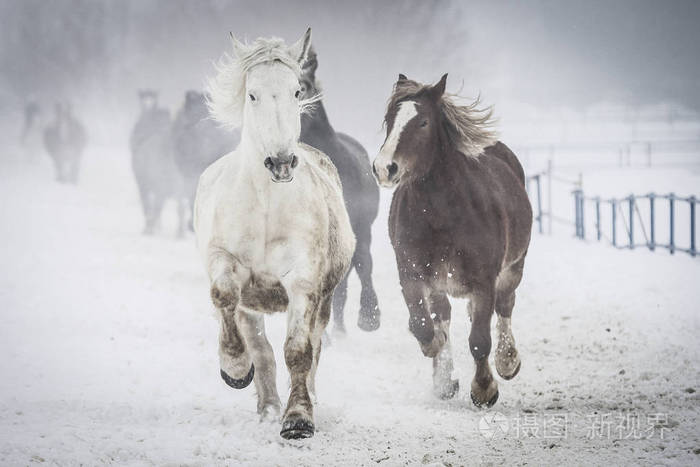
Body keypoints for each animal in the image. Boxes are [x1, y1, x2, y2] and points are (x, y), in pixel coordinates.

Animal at [196, 29, 355, 439]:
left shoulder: (302, 278)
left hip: (323, 300)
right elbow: (224, 298)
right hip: (252, 302)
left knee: (313, 345)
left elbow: (299, 350)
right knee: (259, 344)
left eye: (297, 91)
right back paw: (266, 405)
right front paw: (235, 369)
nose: (281, 162)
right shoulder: (226, 262)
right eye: (252, 94)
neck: (266, 207)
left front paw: (298, 419)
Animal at [372, 74, 532, 407]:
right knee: (442, 314)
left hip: (514, 268)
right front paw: (438, 357)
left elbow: (480, 340)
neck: (441, 215)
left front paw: (484, 389)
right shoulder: (412, 275)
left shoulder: (484, 282)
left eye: (423, 122)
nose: (384, 168)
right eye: (390, 120)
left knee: (505, 306)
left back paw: (507, 360)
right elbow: (422, 325)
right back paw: (444, 376)